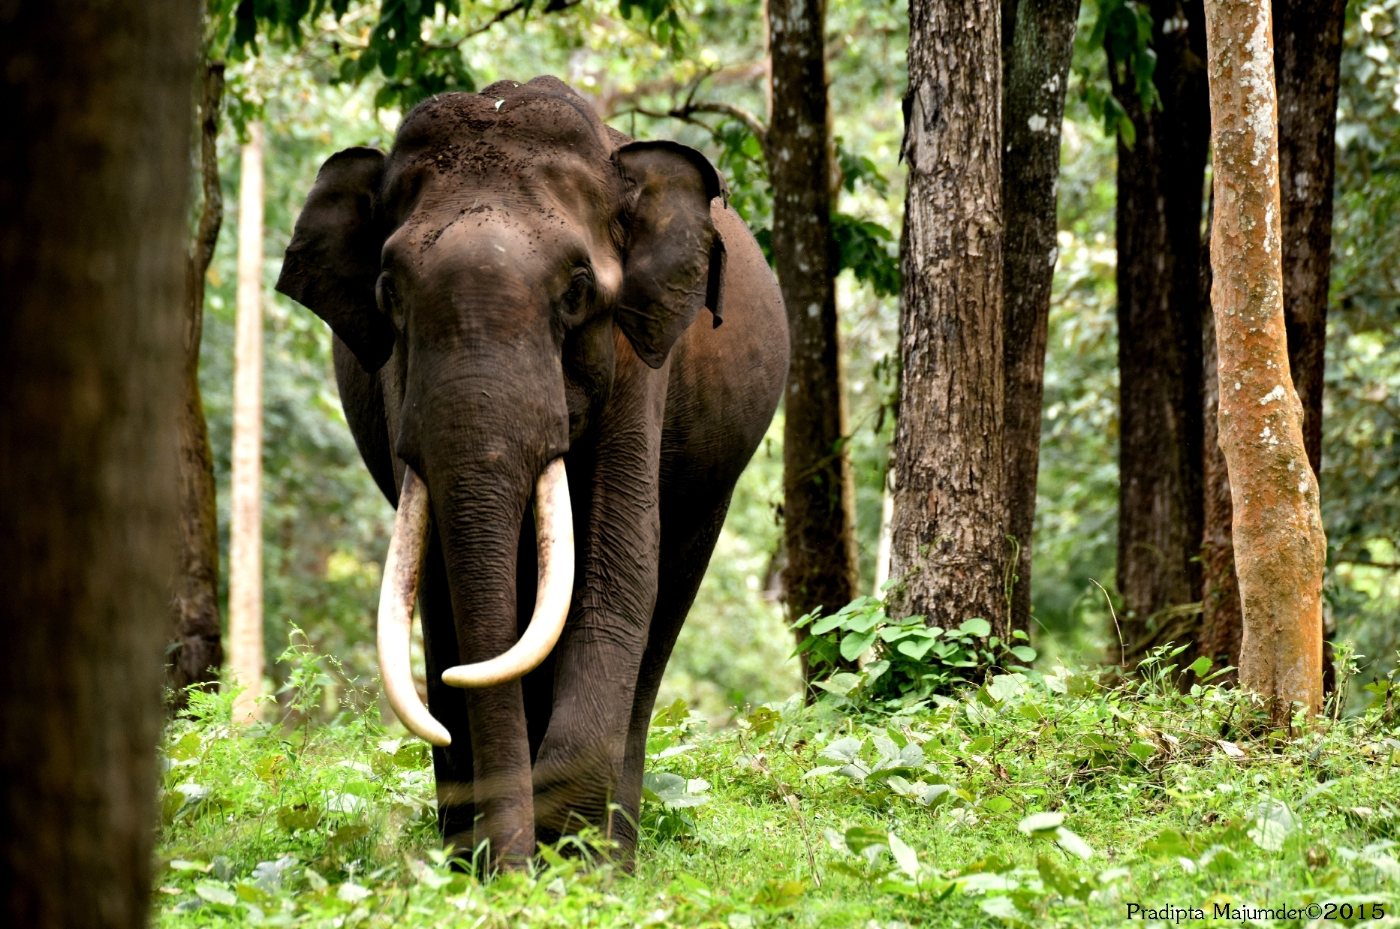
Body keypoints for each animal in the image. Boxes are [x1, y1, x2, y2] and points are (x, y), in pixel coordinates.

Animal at [276, 76, 788, 868]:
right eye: (389, 291)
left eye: (577, 290)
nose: (509, 864)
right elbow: (445, 590)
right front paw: (484, 863)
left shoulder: (640, 362)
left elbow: (617, 570)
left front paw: (574, 863)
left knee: (665, 599)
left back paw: (617, 851)